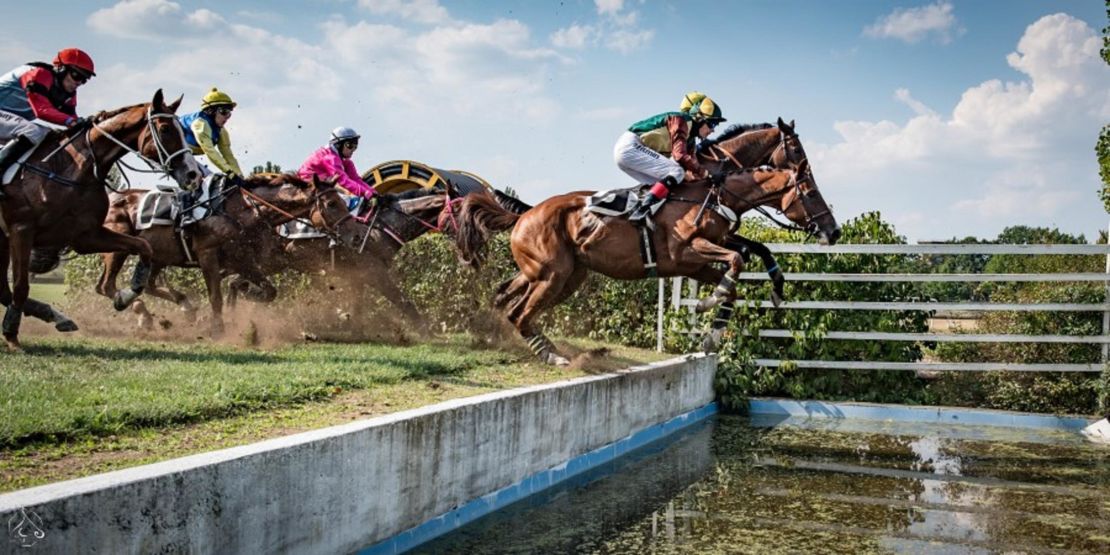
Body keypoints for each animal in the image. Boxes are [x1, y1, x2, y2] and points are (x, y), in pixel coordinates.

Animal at [1, 90, 199, 350]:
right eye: (165, 128)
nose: (192, 173)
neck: (72, 169)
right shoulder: (21, 230)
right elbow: (21, 285)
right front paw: (12, 337)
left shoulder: (85, 235)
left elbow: (144, 247)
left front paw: (126, 297)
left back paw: (57, 316)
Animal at [96, 175, 359, 335]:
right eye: (332, 203)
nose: (355, 235)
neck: (241, 212)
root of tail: (111, 197)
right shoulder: (208, 256)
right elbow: (216, 297)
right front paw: (218, 329)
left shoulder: (243, 260)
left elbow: (269, 291)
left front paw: (249, 299)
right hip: (118, 249)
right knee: (107, 286)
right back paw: (140, 311)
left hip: (157, 256)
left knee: (145, 284)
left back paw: (184, 308)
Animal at [455, 162, 834, 366]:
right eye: (811, 193)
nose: (833, 230)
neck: (712, 197)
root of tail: (524, 214)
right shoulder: (687, 252)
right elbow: (737, 260)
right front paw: (706, 303)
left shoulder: (695, 264)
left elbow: (737, 275)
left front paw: (711, 335)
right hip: (552, 276)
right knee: (520, 313)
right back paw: (552, 356)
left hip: (562, 276)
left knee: (508, 299)